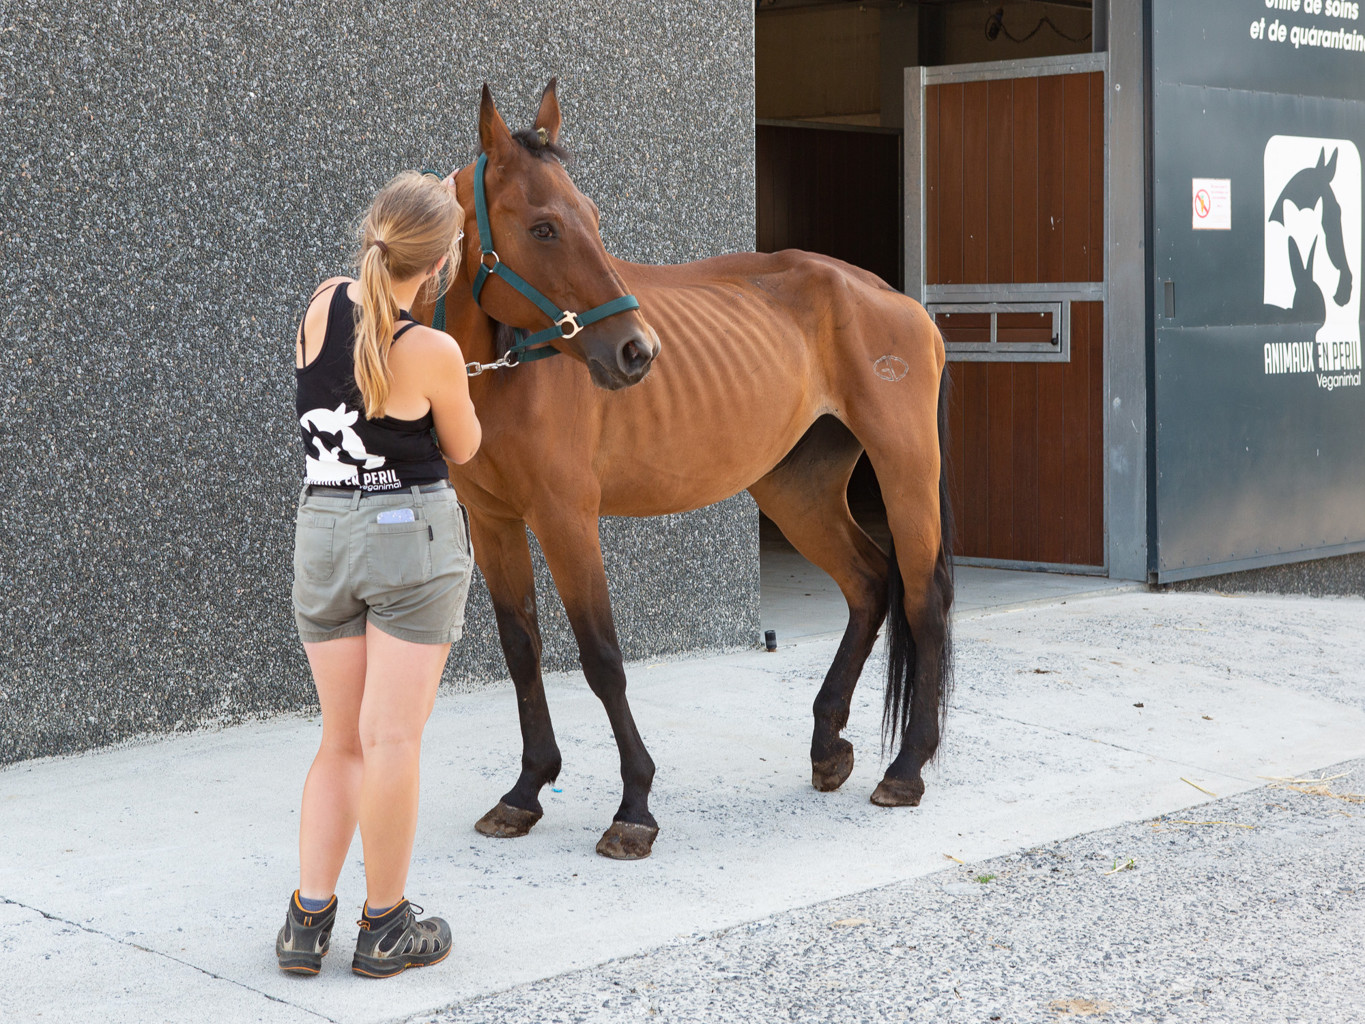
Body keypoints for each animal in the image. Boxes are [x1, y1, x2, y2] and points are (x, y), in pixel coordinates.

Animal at [416, 80, 953, 860]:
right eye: (544, 228)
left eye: (594, 219)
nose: (637, 352)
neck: (506, 371)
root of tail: (889, 296)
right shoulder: (492, 522)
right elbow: (523, 649)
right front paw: (524, 792)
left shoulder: (566, 518)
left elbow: (601, 657)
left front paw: (633, 807)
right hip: (796, 490)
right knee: (868, 583)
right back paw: (828, 746)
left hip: (905, 470)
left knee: (922, 599)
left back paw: (906, 769)